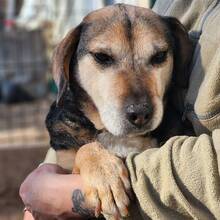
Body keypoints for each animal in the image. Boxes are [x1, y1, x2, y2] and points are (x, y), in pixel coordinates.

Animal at [45, 3, 192, 220]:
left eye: (159, 56)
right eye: (102, 57)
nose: (140, 114)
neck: (119, 137)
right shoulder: (64, 167)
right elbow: (86, 148)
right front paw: (105, 176)